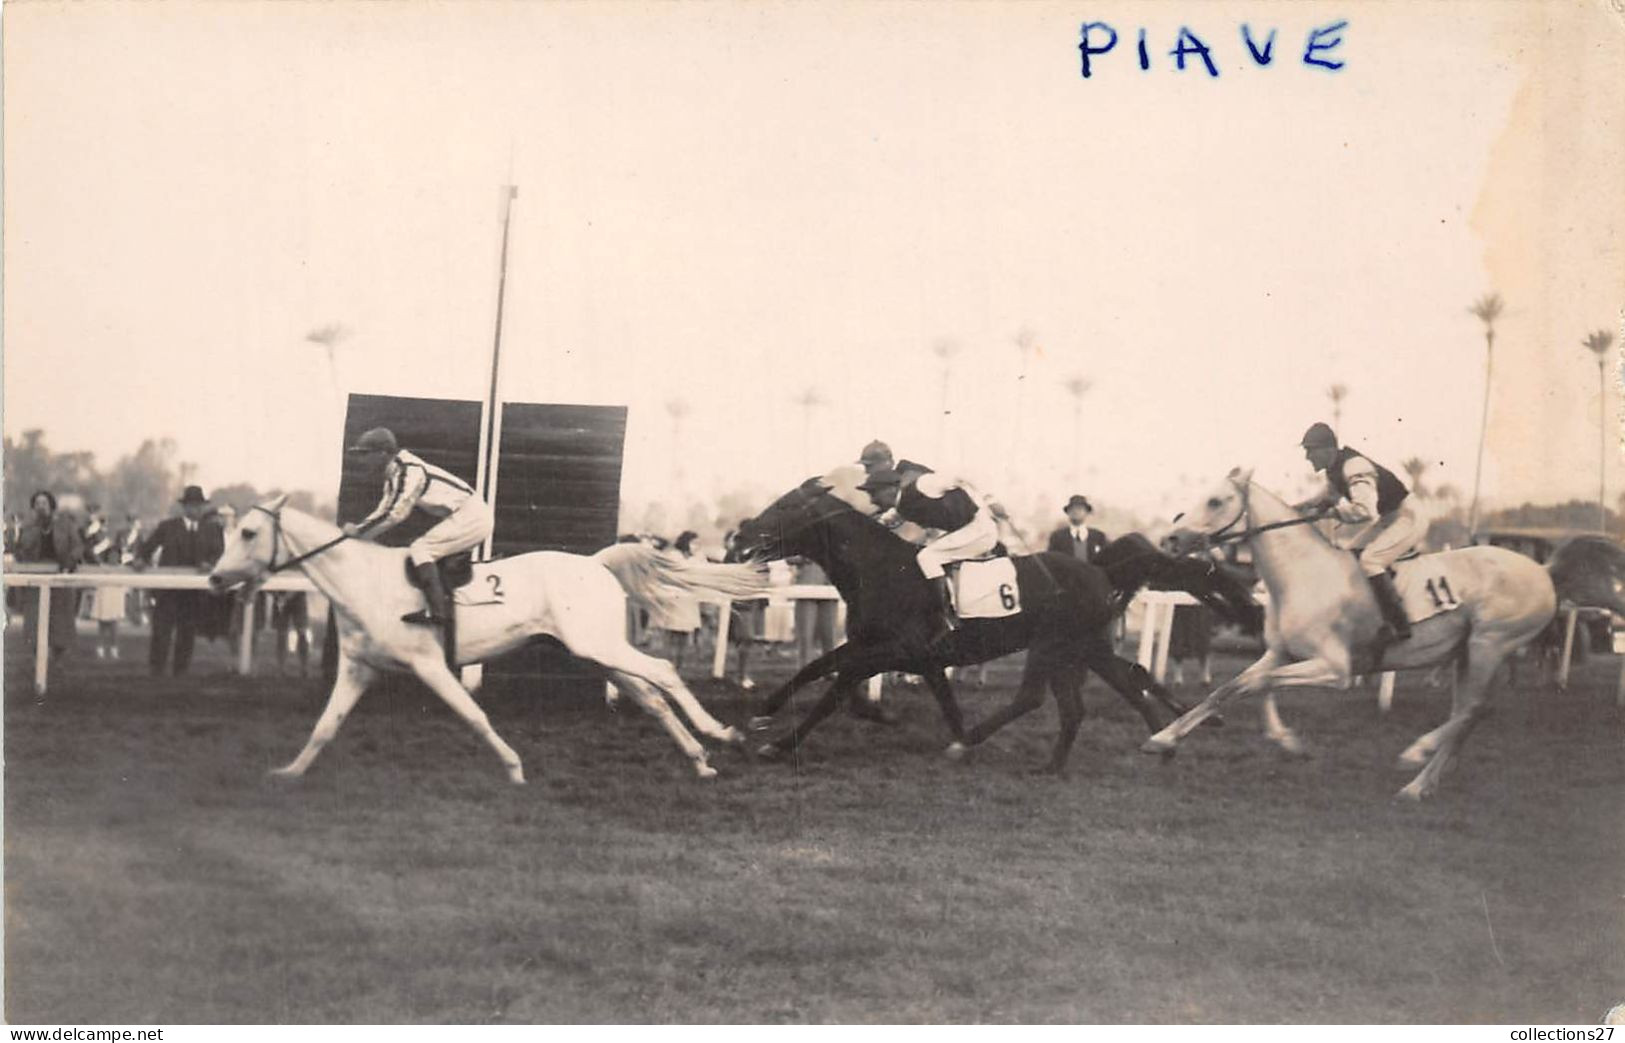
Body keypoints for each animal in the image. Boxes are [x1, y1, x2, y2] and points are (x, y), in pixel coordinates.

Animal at [208, 493, 767, 779]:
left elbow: (474, 716)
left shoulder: (429, 665)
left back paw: (720, 733)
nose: (214, 579)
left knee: (665, 672)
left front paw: (514, 768)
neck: (365, 583)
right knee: (651, 698)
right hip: (596, 654)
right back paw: (698, 761)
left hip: (597, 646)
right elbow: (325, 726)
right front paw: (290, 772)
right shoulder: (357, 668)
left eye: (249, 533)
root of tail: (595, 561)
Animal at [1144, 467, 1586, 799]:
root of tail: (1543, 570)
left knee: (1471, 710)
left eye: (1216, 500)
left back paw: (1417, 757)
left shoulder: (1335, 669)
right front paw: (1164, 738)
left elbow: (1260, 684)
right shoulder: (1280, 652)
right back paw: (1423, 784)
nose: (1171, 538)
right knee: (1469, 712)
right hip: (1467, 654)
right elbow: (1231, 688)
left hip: (1489, 645)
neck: (1303, 574)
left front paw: (1285, 738)